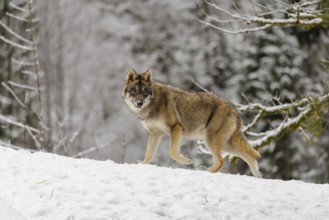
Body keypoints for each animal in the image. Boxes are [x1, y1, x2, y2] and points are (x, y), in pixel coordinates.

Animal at [121, 69, 262, 177]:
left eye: (144, 92)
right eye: (134, 92)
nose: (139, 103)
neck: (152, 105)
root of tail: (234, 109)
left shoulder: (176, 127)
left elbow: (172, 152)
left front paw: (186, 161)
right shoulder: (154, 134)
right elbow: (148, 155)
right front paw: (142, 165)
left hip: (211, 140)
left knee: (221, 162)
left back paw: (205, 172)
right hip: (226, 145)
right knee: (250, 157)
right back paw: (258, 175)